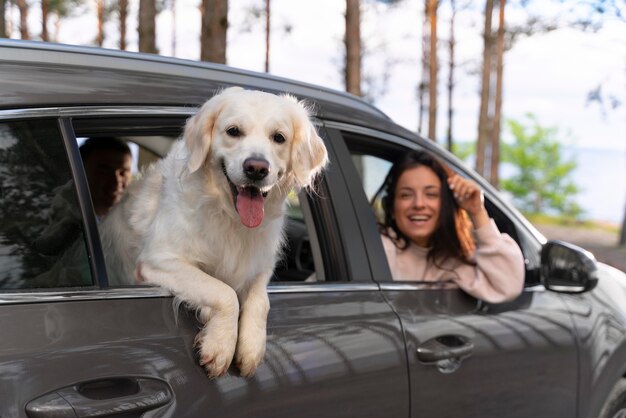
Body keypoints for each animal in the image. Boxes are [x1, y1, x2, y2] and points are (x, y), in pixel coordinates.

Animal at [97, 86, 326, 378]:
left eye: (279, 137)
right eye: (233, 131)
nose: (256, 168)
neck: (230, 218)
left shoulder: (260, 266)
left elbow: (260, 300)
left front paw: (251, 347)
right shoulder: (157, 260)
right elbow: (223, 291)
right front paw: (220, 344)